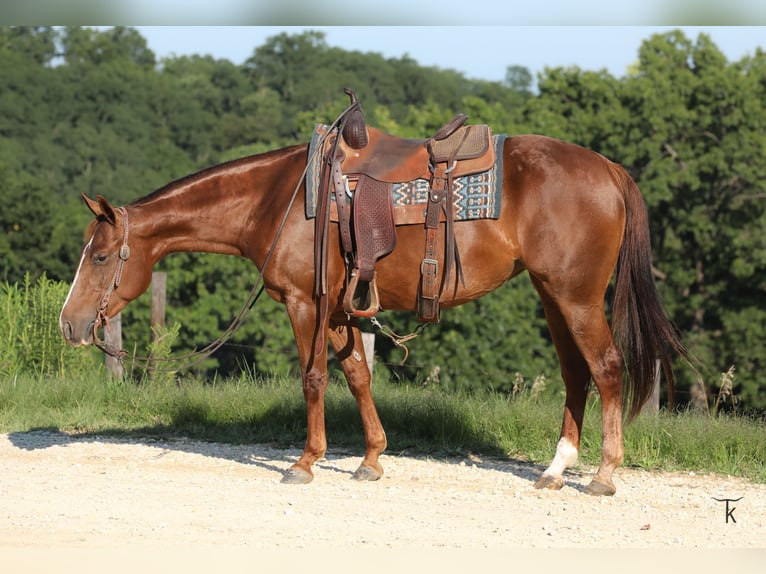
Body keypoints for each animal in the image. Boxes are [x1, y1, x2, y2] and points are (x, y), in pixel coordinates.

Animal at [59, 112, 689, 496]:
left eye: (99, 256)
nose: (69, 324)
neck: (277, 198)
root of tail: (608, 168)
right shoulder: (342, 309)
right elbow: (358, 376)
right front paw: (371, 459)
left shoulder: (304, 303)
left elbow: (314, 378)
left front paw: (305, 462)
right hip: (553, 296)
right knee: (576, 375)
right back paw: (556, 470)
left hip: (576, 297)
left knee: (606, 369)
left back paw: (603, 475)